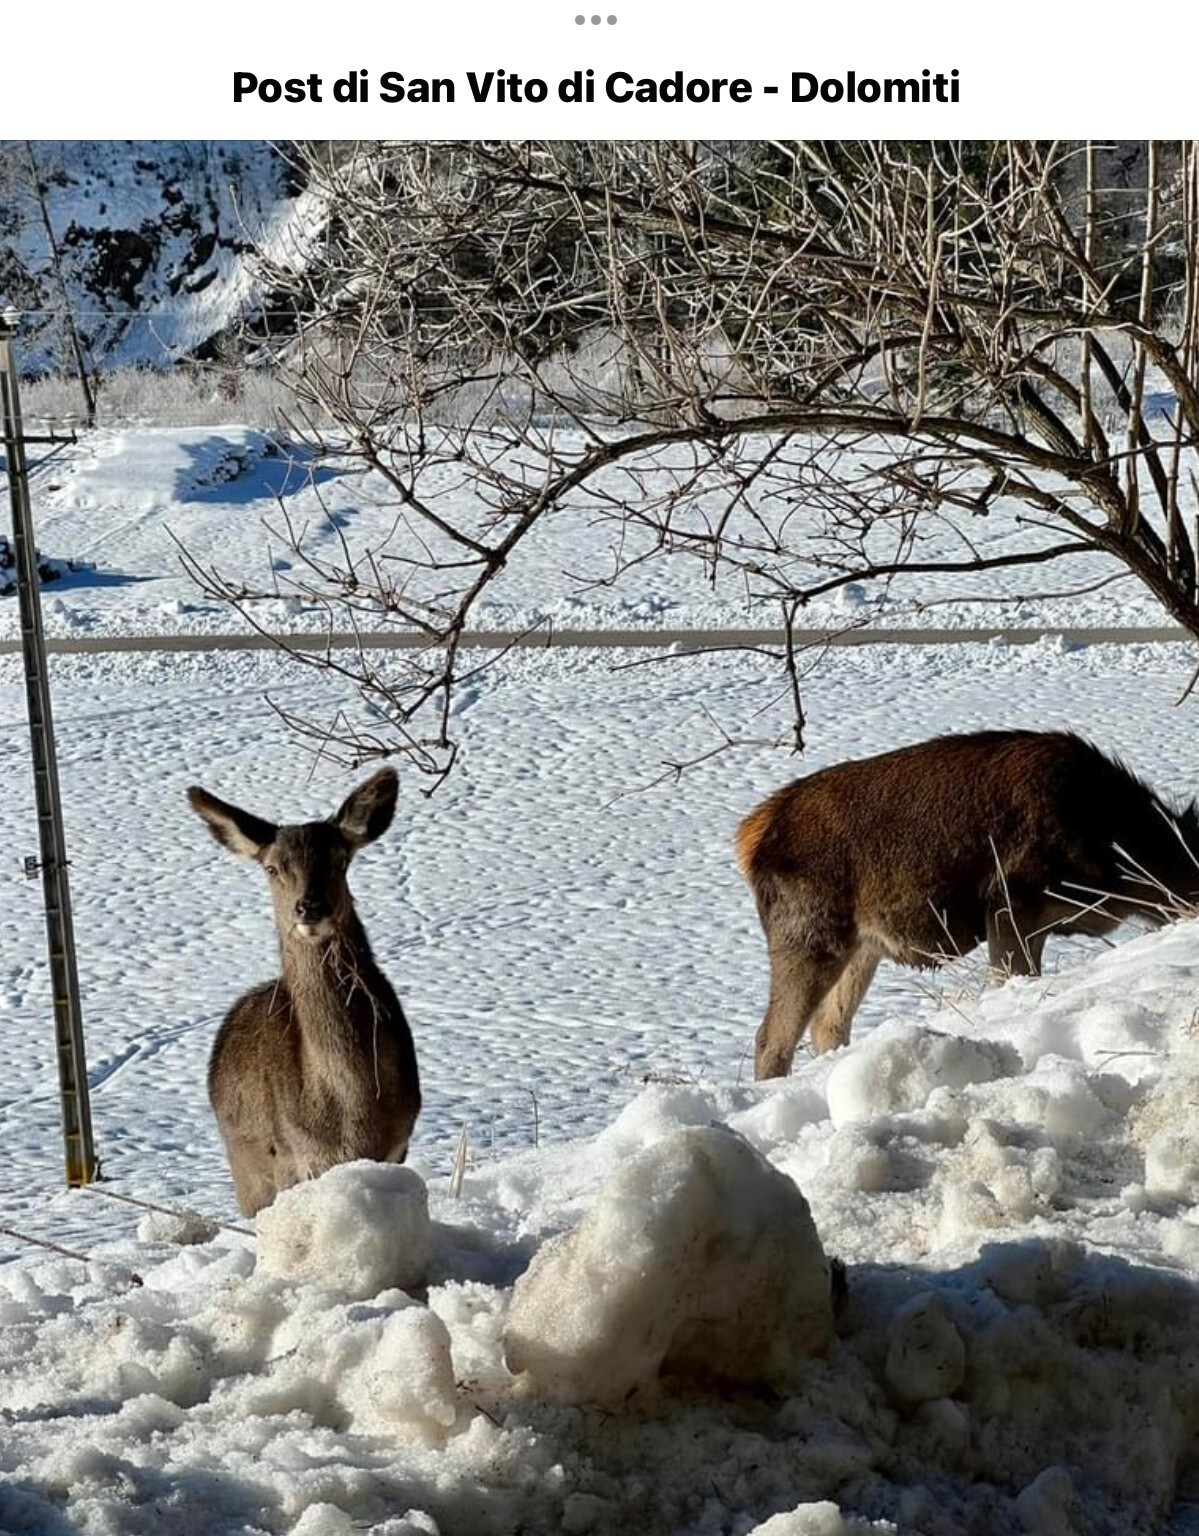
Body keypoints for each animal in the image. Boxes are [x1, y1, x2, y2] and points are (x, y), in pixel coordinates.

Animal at [183, 774, 417, 1216]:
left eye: (340, 860)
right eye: (273, 867)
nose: (309, 907)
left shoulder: (399, 1141)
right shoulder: (295, 1155)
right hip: (246, 1169)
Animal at [733, 731, 1197, 1081]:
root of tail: (751, 839)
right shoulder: (1011, 906)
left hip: (862, 949)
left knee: (828, 1024)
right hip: (809, 936)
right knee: (772, 1037)